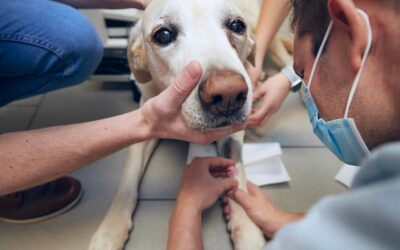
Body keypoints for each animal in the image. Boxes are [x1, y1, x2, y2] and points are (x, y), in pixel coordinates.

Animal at [90, 0, 290, 250]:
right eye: (164, 35)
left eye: (236, 25)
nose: (228, 94)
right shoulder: (145, 120)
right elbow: (129, 176)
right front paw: (110, 229)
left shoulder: (232, 134)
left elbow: (237, 173)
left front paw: (246, 228)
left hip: (271, 40)